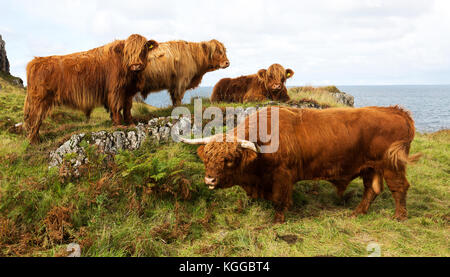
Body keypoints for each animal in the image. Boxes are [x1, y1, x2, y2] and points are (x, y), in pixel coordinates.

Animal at [24, 33, 159, 143]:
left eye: (143, 49)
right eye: (128, 51)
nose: (136, 65)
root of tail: (36, 61)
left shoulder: (128, 92)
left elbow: (127, 109)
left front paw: (130, 124)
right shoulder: (115, 90)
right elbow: (116, 108)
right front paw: (119, 126)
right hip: (39, 101)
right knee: (34, 120)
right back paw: (35, 141)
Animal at [179, 105, 422, 222]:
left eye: (228, 160)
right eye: (207, 158)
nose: (209, 179)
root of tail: (396, 110)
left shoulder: (283, 176)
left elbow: (280, 200)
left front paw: (278, 220)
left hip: (392, 165)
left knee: (399, 188)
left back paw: (399, 217)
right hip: (370, 167)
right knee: (371, 190)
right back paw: (357, 213)